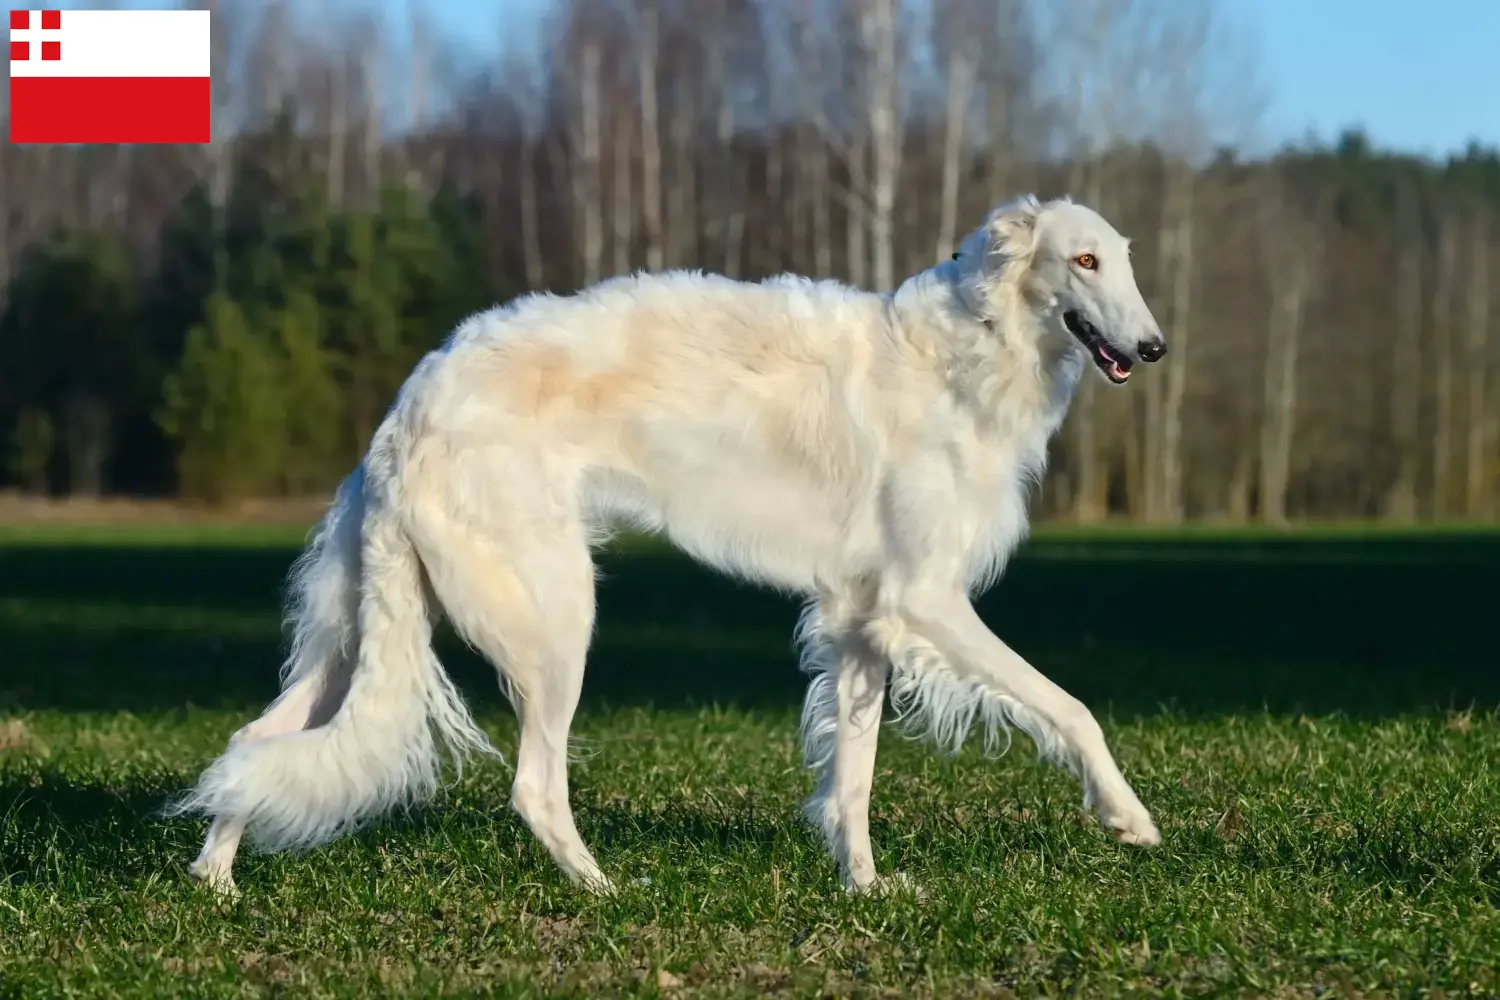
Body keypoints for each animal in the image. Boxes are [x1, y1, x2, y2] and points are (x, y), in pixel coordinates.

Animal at [172, 191, 1170, 893]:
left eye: (1125, 261)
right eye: (1082, 260)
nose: (1155, 347)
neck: (966, 355)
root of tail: (405, 415)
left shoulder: (863, 616)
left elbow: (853, 779)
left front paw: (866, 887)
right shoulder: (925, 598)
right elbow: (1072, 706)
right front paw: (1129, 818)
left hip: (355, 633)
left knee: (252, 746)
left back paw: (216, 878)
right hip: (555, 617)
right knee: (534, 784)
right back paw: (606, 888)